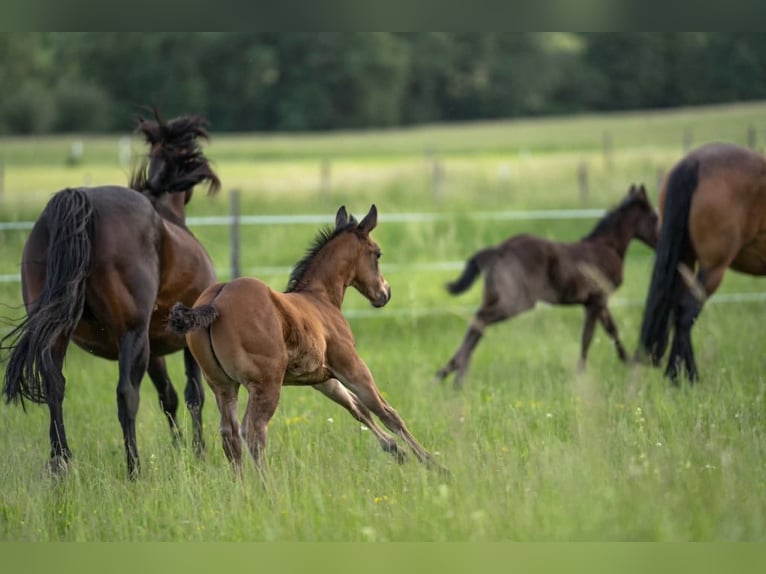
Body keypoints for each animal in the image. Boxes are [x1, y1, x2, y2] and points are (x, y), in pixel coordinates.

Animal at [2, 110, 221, 478]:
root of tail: (80, 201)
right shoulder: (182, 340)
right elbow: (193, 395)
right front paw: (199, 452)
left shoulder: (155, 349)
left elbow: (168, 397)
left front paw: (181, 450)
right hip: (130, 334)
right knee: (126, 395)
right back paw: (134, 470)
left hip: (58, 334)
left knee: (55, 387)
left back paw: (61, 464)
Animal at [168, 205, 445, 476]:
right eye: (377, 254)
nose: (385, 293)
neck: (320, 298)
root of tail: (216, 300)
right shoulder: (352, 366)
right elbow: (387, 412)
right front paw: (434, 464)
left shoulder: (322, 378)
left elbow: (357, 408)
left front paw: (397, 450)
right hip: (266, 384)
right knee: (254, 432)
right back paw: (268, 486)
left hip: (222, 387)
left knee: (230, 434)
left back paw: (242, 486)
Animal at [434, 184, 659, 389]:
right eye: (654, 217)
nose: (659, 241)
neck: (607, 247)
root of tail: (499, 250)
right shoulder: (597, 299)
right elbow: (589, 337)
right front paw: (582, 374)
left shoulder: (596, 302)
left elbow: (612, 330)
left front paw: (629, 361)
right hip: (517, 302)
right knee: (481, 320)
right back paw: (449, 372)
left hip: (493, 297)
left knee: (477, 324)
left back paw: (454, 375)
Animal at [637, 142, 766, 382]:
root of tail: (694, 162)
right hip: (712, 270)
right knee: (686, 312)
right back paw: (683, 378)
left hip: (685, 263)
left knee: (677, 310)